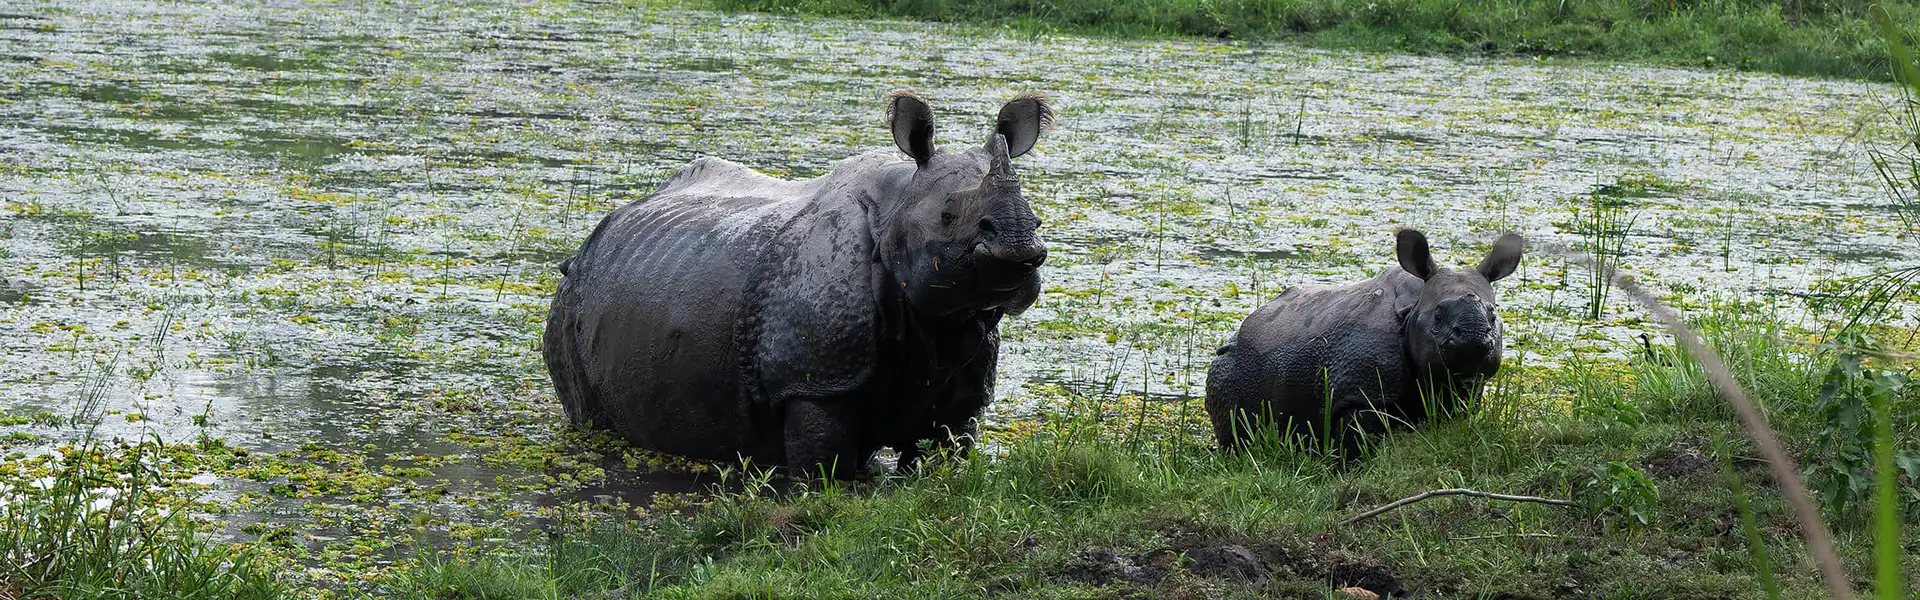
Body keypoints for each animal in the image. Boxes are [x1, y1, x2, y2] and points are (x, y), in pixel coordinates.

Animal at [543, 92, 1053, 478]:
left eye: (1038, 218)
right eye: (947, 217)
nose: (1019, 249)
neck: (898, 206)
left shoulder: (962, 370)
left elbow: (944, 454)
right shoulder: (812, 382)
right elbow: (824, 467)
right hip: (570, 298)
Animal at [1204, 229, 1525, 453]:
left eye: (1494, 316)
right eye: (1437, 317)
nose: (1473, 337)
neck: (1413, 309)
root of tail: (1235, 334)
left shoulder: (1461, 385)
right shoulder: (1361, 393)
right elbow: (1361, 439)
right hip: (1231, 362)